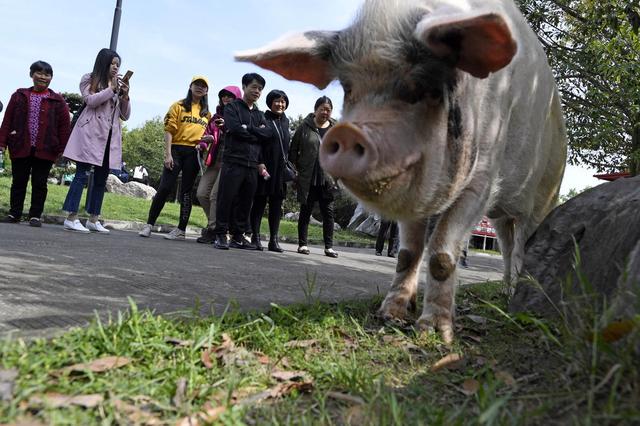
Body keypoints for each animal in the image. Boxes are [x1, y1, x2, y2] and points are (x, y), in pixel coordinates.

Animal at [238, 0, 568, 342]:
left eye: (421, 86)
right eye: (348, 88)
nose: (347, 132)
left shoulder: (483, 180)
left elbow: (441, 255)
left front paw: (433, 333)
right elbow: (407, 253)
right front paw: (390, 315)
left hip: (547, 193)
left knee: (523, 247)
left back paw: (517, 296)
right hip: (502, 216)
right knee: (506, 247)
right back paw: (505, 292)